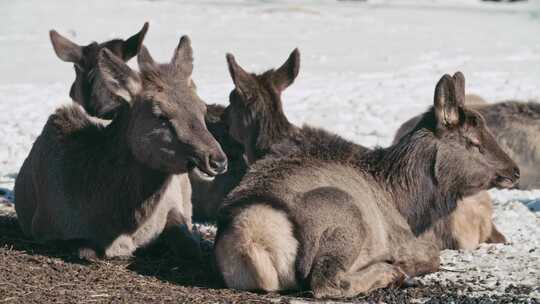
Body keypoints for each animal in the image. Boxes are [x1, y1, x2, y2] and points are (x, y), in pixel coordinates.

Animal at [14, 35, 226, 258]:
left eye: (202, 109)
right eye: (160, 115)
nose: (217, 160)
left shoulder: (175, 205)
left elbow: (190, 243)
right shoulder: (42, 227)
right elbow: (84, 249)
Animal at [215, 63, 520, 298]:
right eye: (474, 142)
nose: (514, 171)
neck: (408, 203)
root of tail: (251, 243)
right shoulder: (405, 240)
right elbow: (433, 257)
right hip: (344, 215)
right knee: (326, 283)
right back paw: (390, 272)